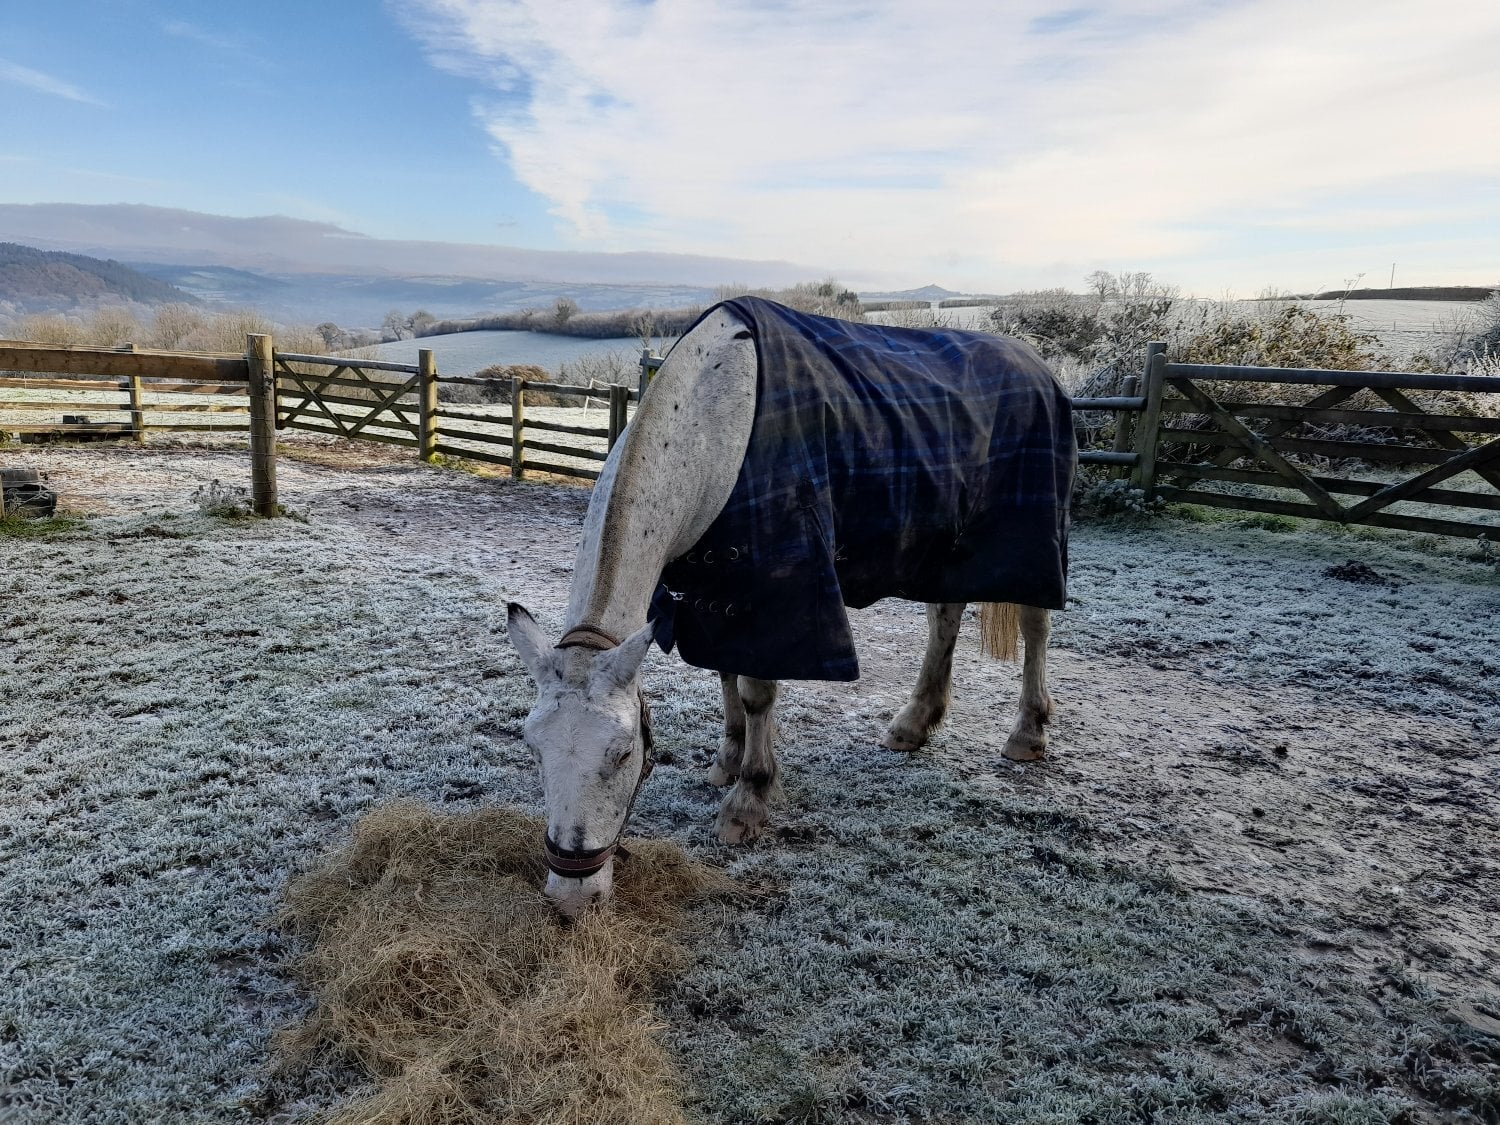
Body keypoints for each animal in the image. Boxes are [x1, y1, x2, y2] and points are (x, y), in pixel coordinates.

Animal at [506, 297, 1074, 915]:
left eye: (624, 752)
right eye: (533, 748)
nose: (571, 897)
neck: (712, 428)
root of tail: (1041, 369)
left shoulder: (773, 588)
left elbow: (757, 690)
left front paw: (748, 799)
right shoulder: (714, 591)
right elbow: (726, 673)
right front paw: (727, 761)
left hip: (1032, 541)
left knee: (1036, 625)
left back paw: (1028, 734)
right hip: (940, 547)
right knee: (944, 619)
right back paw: (913, 724)